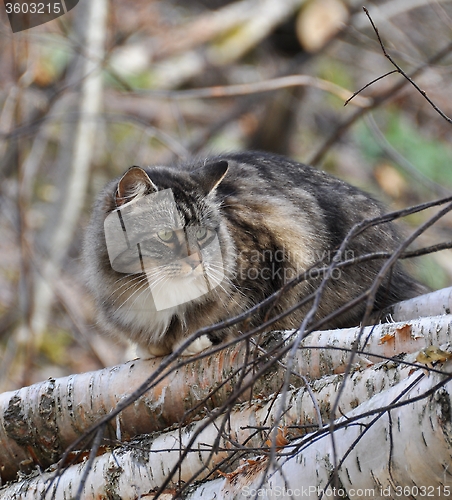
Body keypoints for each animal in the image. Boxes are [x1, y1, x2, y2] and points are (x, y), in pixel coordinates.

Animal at [84, 150, 424, 358]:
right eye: (166, 235)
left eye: (203, 234)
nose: (196, 262)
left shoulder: (271, 257)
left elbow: (236, 318)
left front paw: (193, 341)